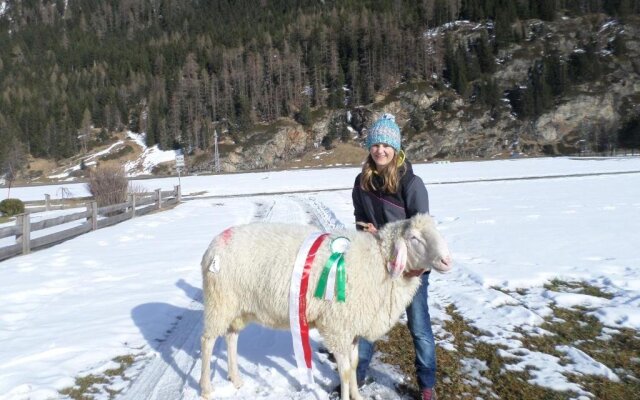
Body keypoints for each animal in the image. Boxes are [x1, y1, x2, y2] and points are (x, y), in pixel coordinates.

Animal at [199, 212, 450, 400]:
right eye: (414, 238)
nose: (447, 261)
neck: (379, 263)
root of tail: (212, 246)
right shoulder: (337, 326)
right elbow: (346, 371)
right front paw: (347, 397)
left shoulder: (352, 326)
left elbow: (355, 364)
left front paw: (358, 396)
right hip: (219, 301)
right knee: (208, 341)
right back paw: (206, 388)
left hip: (237, 307)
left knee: (231, 337)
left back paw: (236, 379)